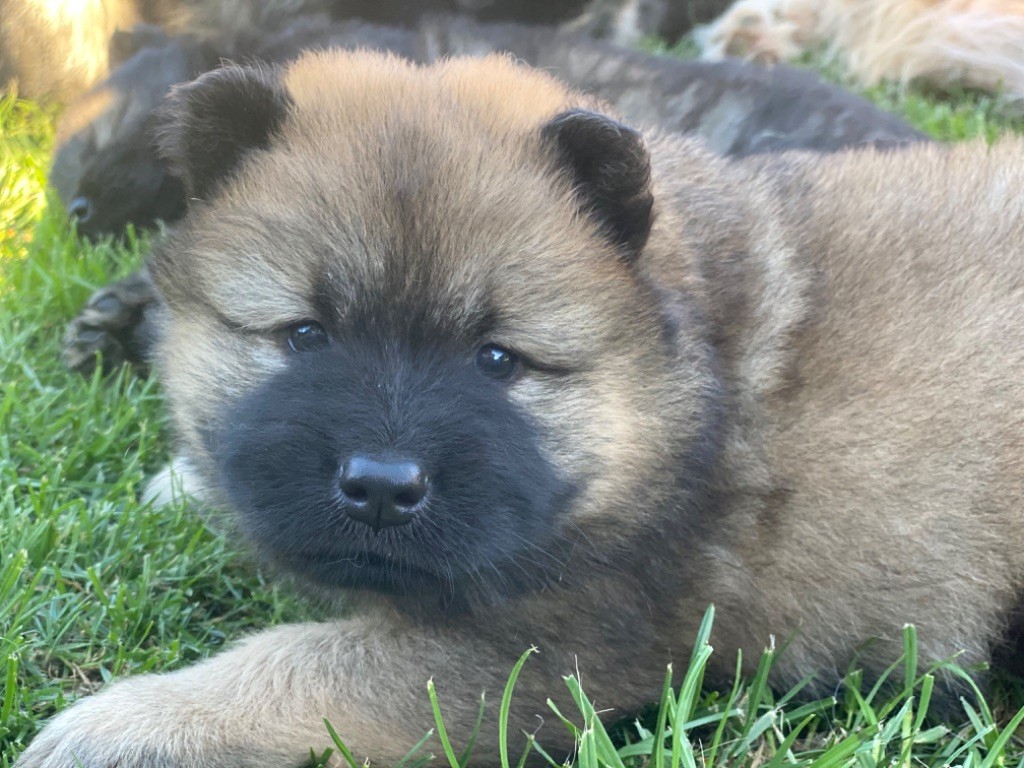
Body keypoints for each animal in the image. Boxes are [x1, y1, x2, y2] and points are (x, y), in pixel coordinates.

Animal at [16, 49, 1024, 768]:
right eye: (305, 336)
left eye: (498, 360)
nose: (381, 486)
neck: (687, 386)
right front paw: (182, 481)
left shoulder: (540, 649)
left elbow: (300, 664)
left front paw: (128, 724)